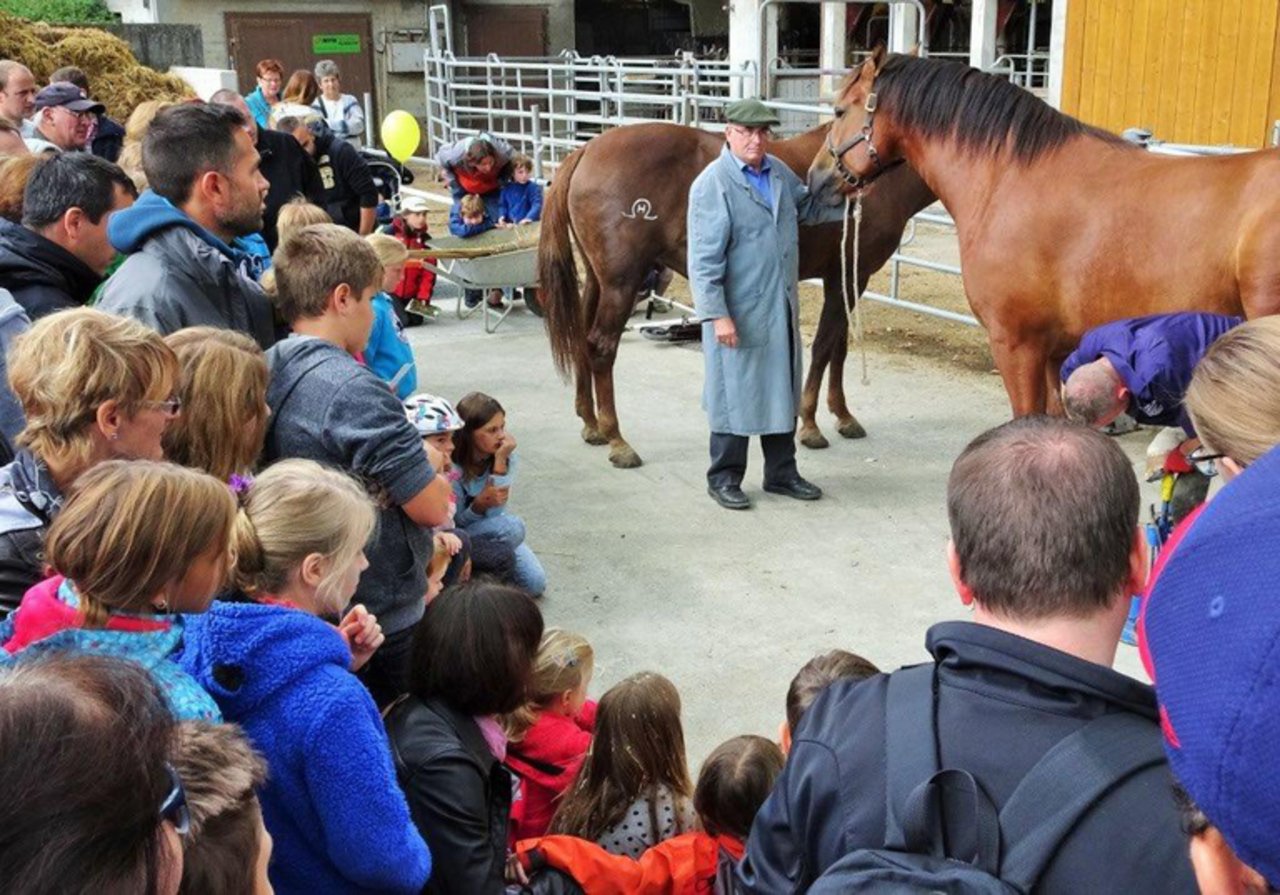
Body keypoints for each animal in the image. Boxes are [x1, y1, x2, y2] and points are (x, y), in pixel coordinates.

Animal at [537, 123, 931, 468]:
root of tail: (586, 150)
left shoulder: (850, 279)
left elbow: (840, 347)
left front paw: (844, 416)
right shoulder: (844, 278)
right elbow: (823, 347)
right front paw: (810, 425)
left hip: (598, 281)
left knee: (581, 338)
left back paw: (591, 424)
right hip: (621, 284)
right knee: (601, 348)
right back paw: (617, 440)